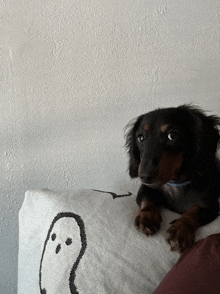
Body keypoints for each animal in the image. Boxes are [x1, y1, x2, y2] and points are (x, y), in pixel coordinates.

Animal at [125, 104, 220, 252]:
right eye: (140, 138)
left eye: (172, 135)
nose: (145, 177)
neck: (176, 183)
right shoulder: (145, 189)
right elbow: (148, 198)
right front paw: (146, 217)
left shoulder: (212, 207)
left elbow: (194, 210)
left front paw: (181, 230)